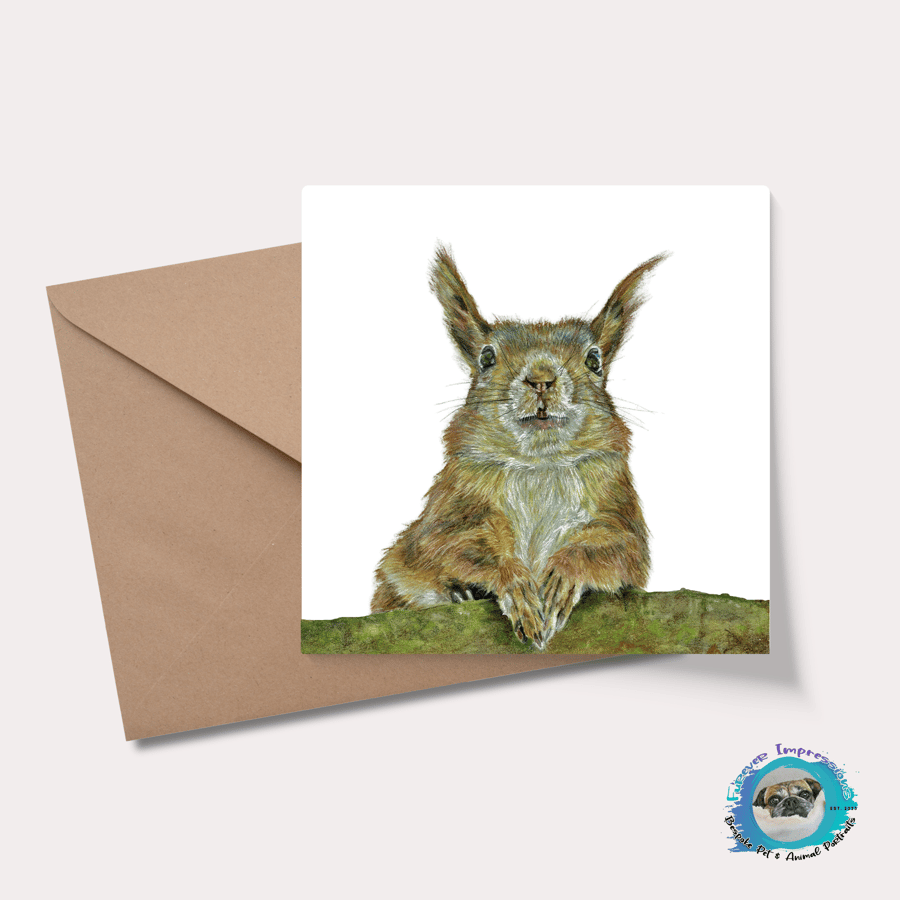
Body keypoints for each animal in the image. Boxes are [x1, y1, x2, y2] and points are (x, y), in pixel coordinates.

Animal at [371, 244, 668, 650]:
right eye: (486, 357)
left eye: (594, 359)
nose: (541, 379)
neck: (538, 462)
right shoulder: (444, 513)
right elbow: (445, 546)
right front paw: (514, 585)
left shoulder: (617, 508)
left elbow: (618, 548)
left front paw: (563, 576)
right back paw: (461, 593)